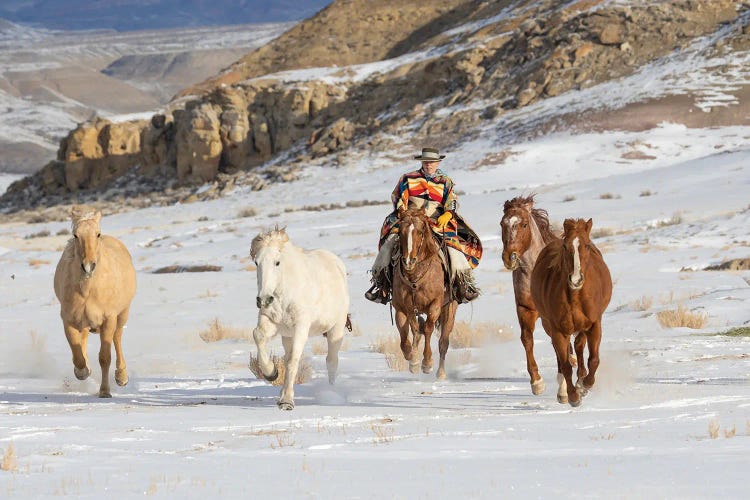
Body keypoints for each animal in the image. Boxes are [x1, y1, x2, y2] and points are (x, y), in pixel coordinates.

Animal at [250, 227, 350, 410]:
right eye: (256, 262)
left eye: (277, 262)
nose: (264, 299)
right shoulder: (270, 321)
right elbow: (258, 336)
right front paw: (271, 373)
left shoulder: (301, 327)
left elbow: (293, 361)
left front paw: (287, 402)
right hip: (287, 336)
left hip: (336, 329)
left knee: (332, 360)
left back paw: (332, 393)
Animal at [394, 207, 458, 378]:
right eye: (399, 231)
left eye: (421, 231)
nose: (409, 261)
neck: (415, 278)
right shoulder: (404, 307)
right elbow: (408, 334)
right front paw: (413, 361)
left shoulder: (435, 305)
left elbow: (428, 329)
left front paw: (427, 363)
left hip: (449, 308)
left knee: (443, 341)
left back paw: (441, 373)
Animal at [502, 195, 560, 394]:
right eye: (502, 223)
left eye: (524, 224)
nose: (509, 257)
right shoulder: (525, 309)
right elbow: (527, 339)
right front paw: (537, 382)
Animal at [532, 219, 612, 406]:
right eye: (565, 246)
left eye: (587, 245)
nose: (576, 280)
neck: (575, 297)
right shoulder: (558, 330)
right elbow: (566, 365)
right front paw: (573, 396)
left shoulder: (594, 325)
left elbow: (594, 359)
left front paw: (585, 384)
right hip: (549, 326)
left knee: (579, 347)